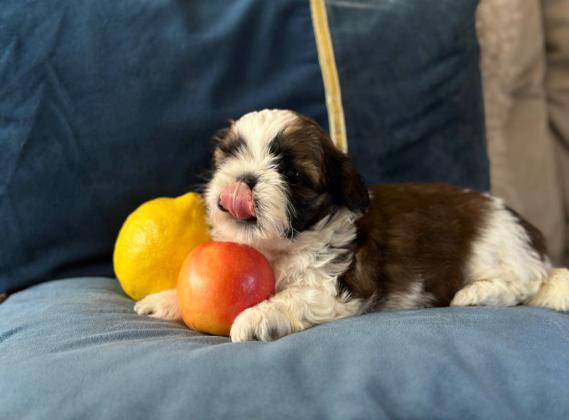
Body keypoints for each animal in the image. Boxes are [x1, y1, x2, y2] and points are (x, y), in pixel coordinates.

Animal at [135, 108, 568, 342]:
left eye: (292, 174)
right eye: (231, 156)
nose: (243, 180)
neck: (281, 248)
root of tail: (532, 239)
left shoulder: (334, 286)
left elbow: (291, 298)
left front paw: (255, 317)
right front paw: (168, 299)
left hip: (496, 250)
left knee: (525, 284)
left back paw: (476, 294)